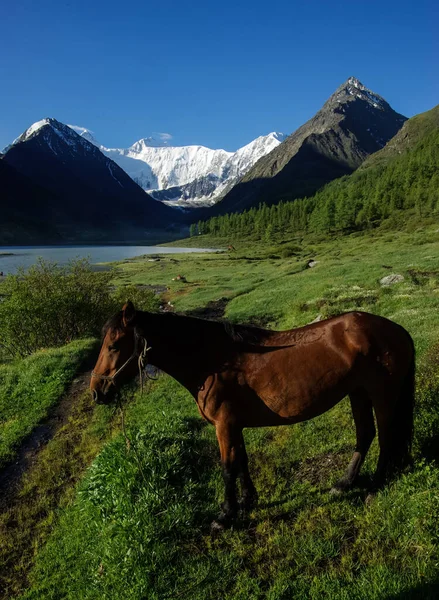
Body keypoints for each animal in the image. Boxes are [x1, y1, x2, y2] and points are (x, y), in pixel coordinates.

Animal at [90, 304, 416, 528]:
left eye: (114, 345)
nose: (96, 392)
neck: (213, 362)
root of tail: (397, 329)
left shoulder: (224, 426)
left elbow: (227, 468)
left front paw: (226, 515)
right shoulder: (234, 425)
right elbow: (242, 461)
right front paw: (248, 501)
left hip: (381, 394)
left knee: (385, 438)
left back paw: (375, 486)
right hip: (357, 392)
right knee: (365, 434)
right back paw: (345, 483)